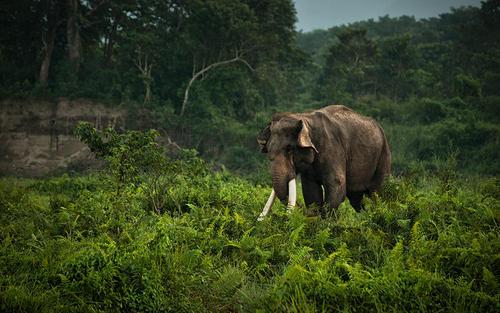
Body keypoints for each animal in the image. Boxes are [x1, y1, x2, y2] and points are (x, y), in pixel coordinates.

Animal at [258, 105, 390, 219]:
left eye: (289, 149)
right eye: (268, 151)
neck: (304, 117)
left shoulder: (333, 150)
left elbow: (337, 185)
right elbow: (311, 192)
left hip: (383, 156)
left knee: (377, 193)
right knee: (356, 199)